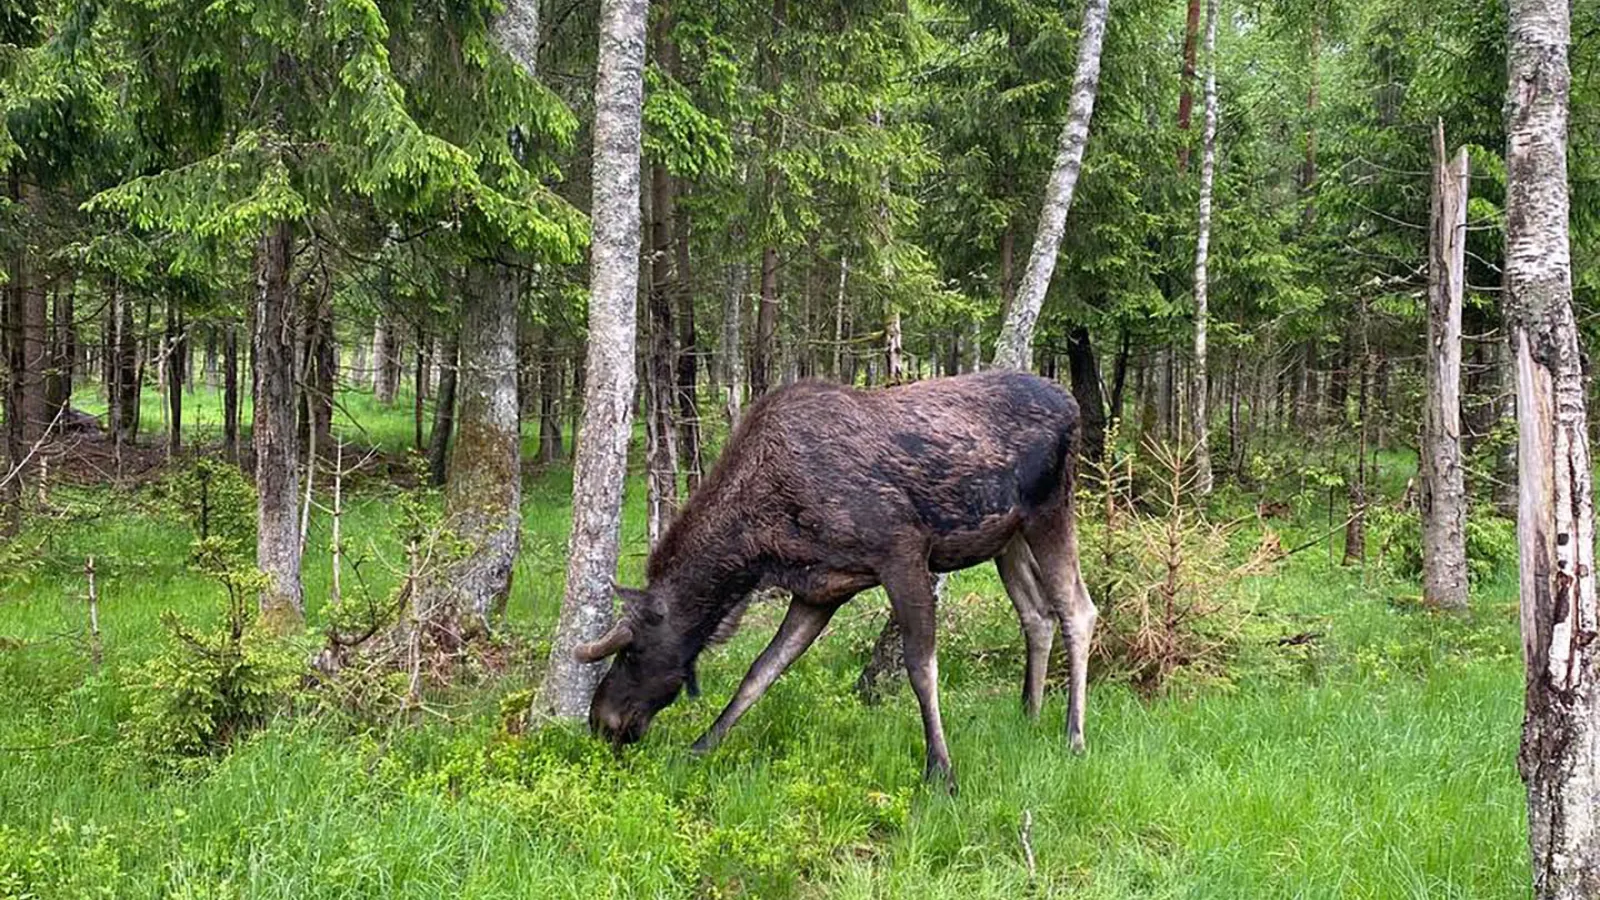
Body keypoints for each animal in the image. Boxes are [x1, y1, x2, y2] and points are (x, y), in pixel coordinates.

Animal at [579, 365, 1100, 784]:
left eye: (631, 651)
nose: (600, 721)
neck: (762, 543)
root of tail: (1073, 403)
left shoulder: (903, 551)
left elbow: (920, 667)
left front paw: (941, 770)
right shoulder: (819, 591)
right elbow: (761, 671)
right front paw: (701, 746)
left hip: (1051, 510)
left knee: (1078, 609)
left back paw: (1073, 734)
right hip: (1006, 539)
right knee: (1036, 614)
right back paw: (1029, 714)